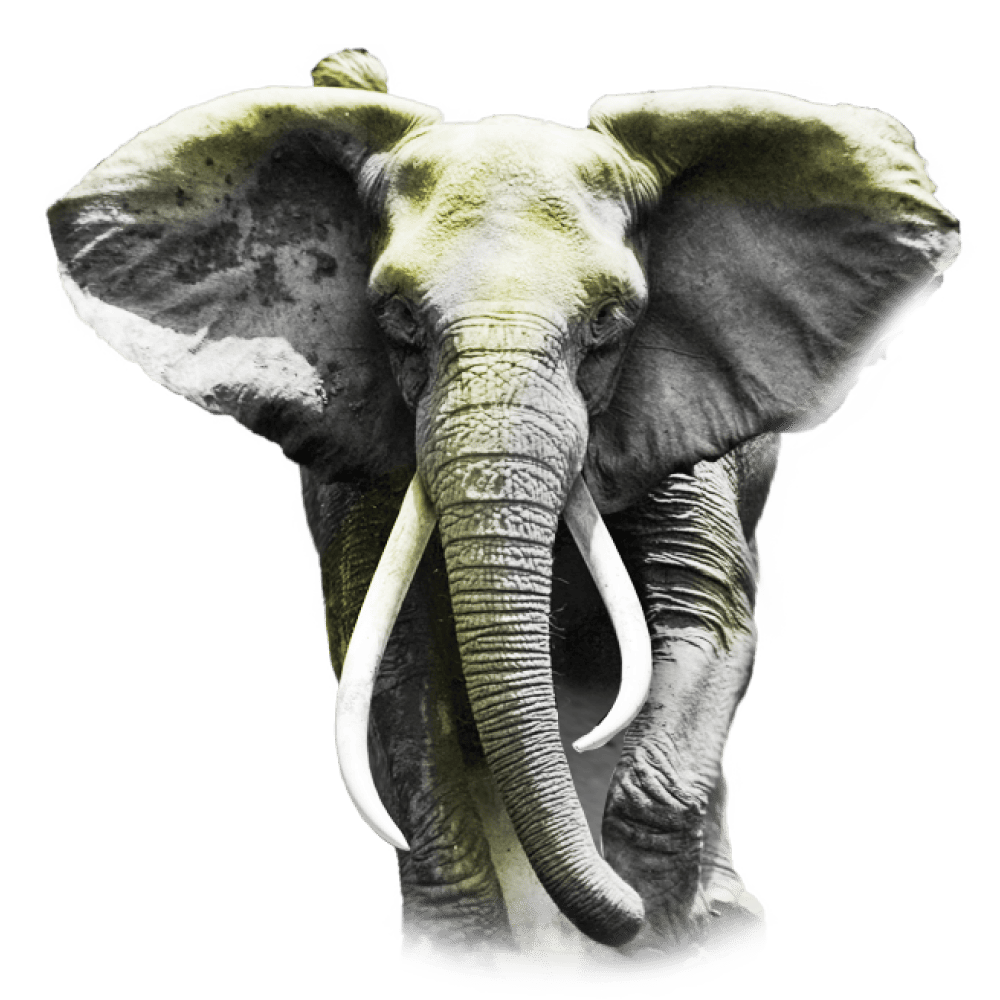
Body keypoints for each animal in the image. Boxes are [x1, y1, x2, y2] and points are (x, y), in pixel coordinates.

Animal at [44, 47, 962, 989]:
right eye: (398, 320)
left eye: (609, 322)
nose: (616, 932)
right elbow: (394, 653)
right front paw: (468, 958)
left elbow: (702, 609)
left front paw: (660, 949)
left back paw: (720, 922)